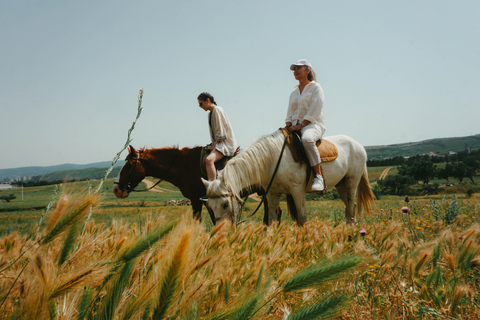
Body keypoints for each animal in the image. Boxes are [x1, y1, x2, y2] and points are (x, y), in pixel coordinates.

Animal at [202, 129, 376, 225]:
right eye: (209, 206)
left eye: (225, 204)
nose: (222, 232)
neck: (271, 159)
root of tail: (359, 146)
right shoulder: (272, 194)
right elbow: (271, 220)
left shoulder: (297, 191)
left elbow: (303, 218)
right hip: (341, 185)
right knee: (349, 208)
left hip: (351, 182)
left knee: (351, 208)